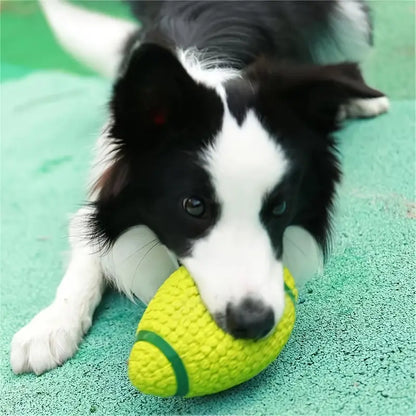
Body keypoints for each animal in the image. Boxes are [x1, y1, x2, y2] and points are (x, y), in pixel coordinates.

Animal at [9, 0, 388, 376]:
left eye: (279, 207)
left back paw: (361, 99)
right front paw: (50, 325)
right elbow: (86, 252)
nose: (254, 322)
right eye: (194, 206)